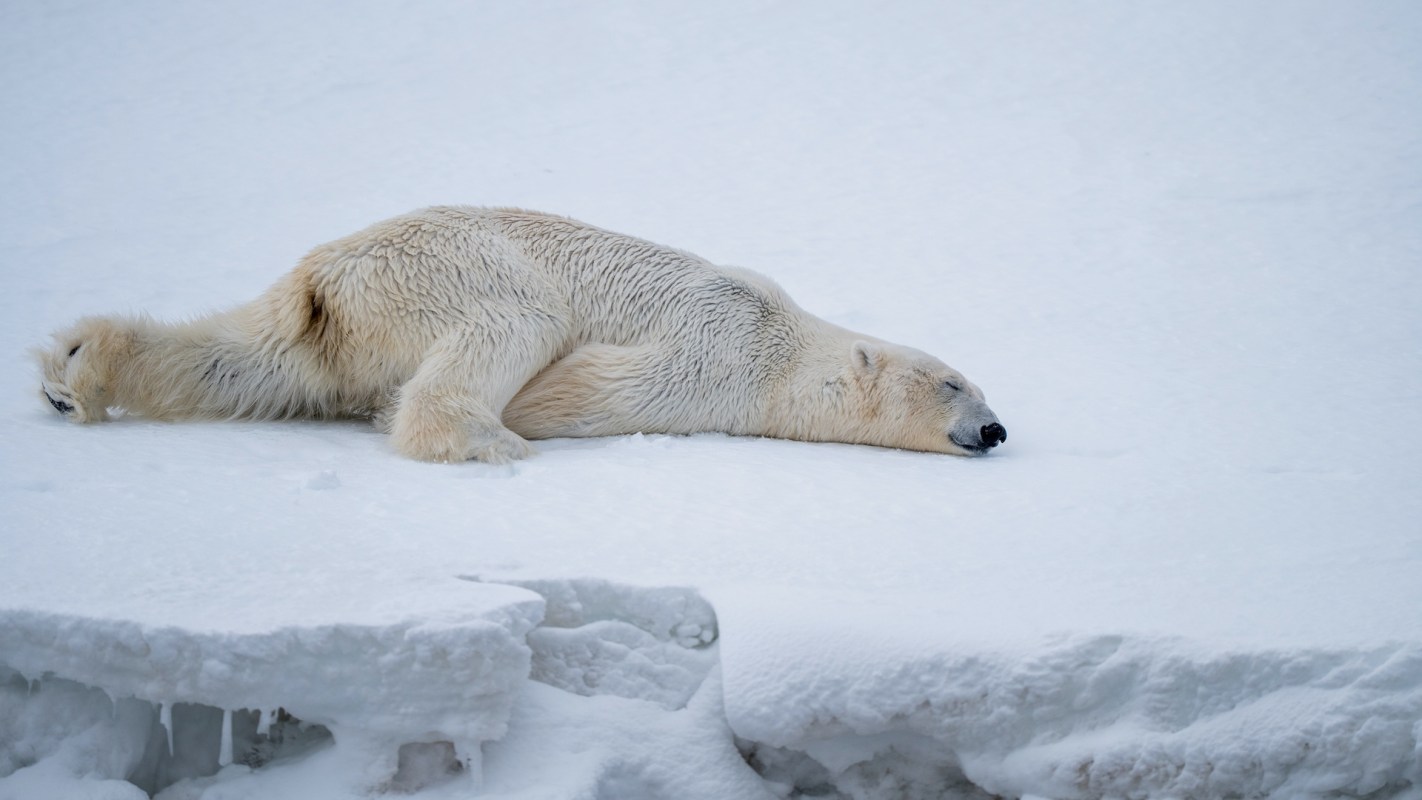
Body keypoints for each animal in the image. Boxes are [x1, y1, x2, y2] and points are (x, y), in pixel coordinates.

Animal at [34, 206, 1006, 463]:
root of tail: (328, 277)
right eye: (955, 382)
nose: (995, 430)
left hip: (327, 325)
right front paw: (538, 414)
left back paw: (75, 368)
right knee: (515, 322)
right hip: (451, 267)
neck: (787, 342)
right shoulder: (720, 340)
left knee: (244, 361)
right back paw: (486, 438)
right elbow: (598, 386)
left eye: (982, 386)